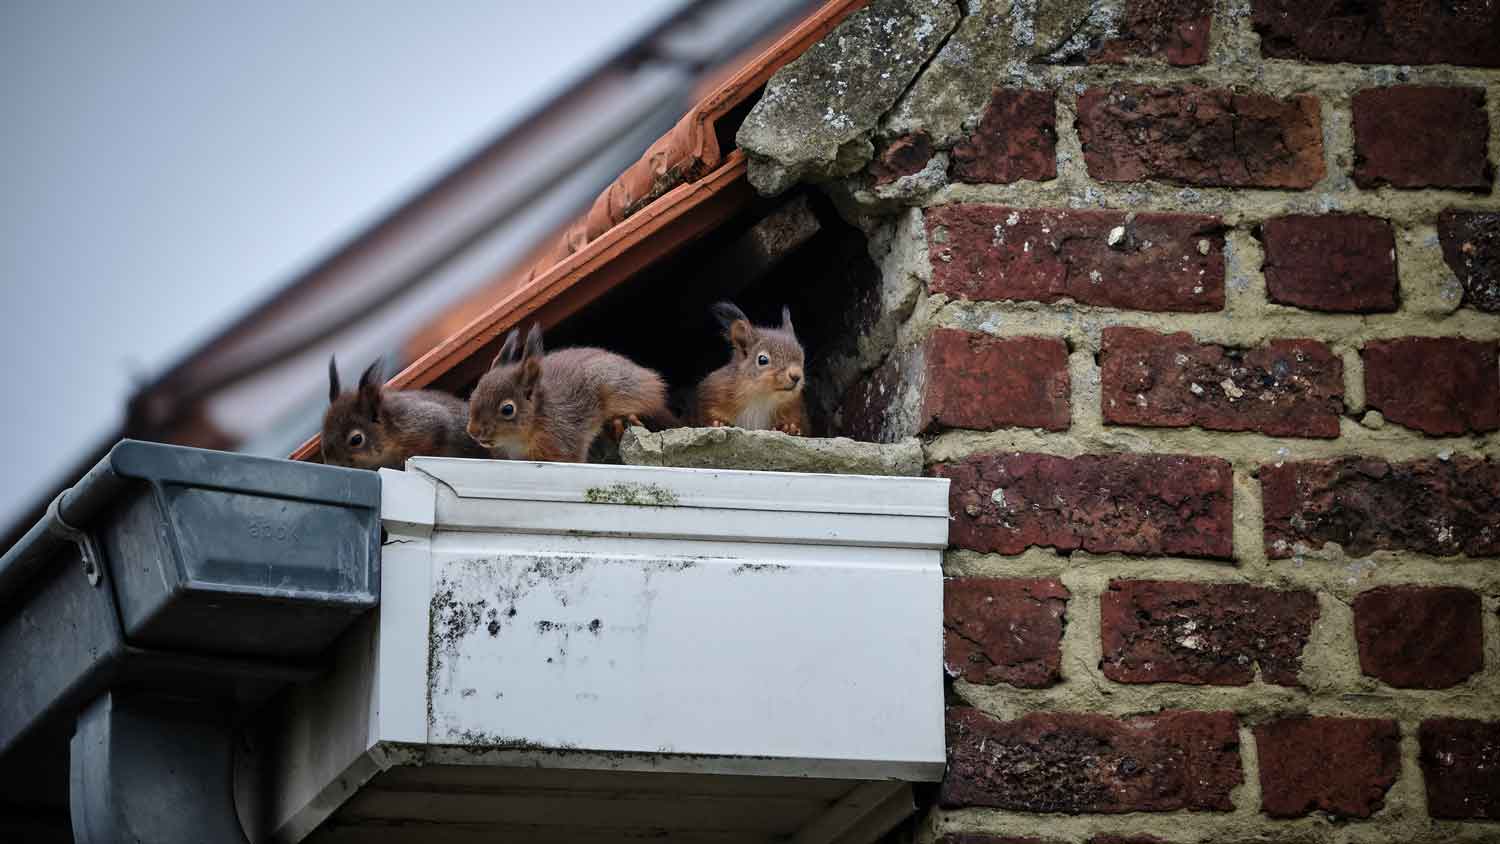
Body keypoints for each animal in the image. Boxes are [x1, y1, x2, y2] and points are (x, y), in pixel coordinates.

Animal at [693, 302, 810, 434]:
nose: (796, 376)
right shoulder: (713, 392)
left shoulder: (795, 407)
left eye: (802, 355)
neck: (761, 396)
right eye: (762, 360)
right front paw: (717, 423)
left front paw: (789, 427)